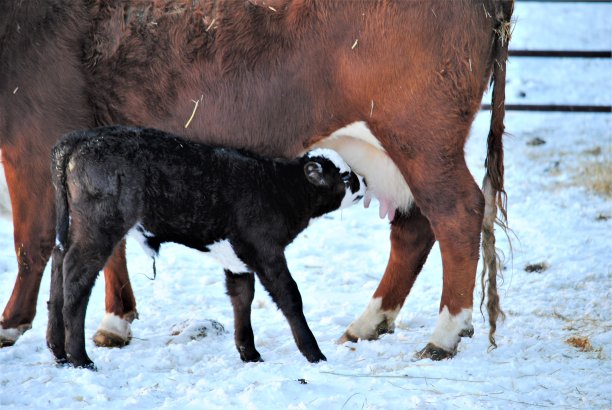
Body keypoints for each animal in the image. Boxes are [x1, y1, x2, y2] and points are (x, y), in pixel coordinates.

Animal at [47, 125, 366, 368]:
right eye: (344, 175)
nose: (364, 182)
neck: (277, 188)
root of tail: (78, 139)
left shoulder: (236, 259)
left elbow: (242, 298)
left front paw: (249, 354)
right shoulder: (266, 251)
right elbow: (289, 296)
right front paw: (314, 354)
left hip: (72, 226)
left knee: (58, 263)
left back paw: (58, 352)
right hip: (99, 227)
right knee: (76, 277)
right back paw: (80, 358)